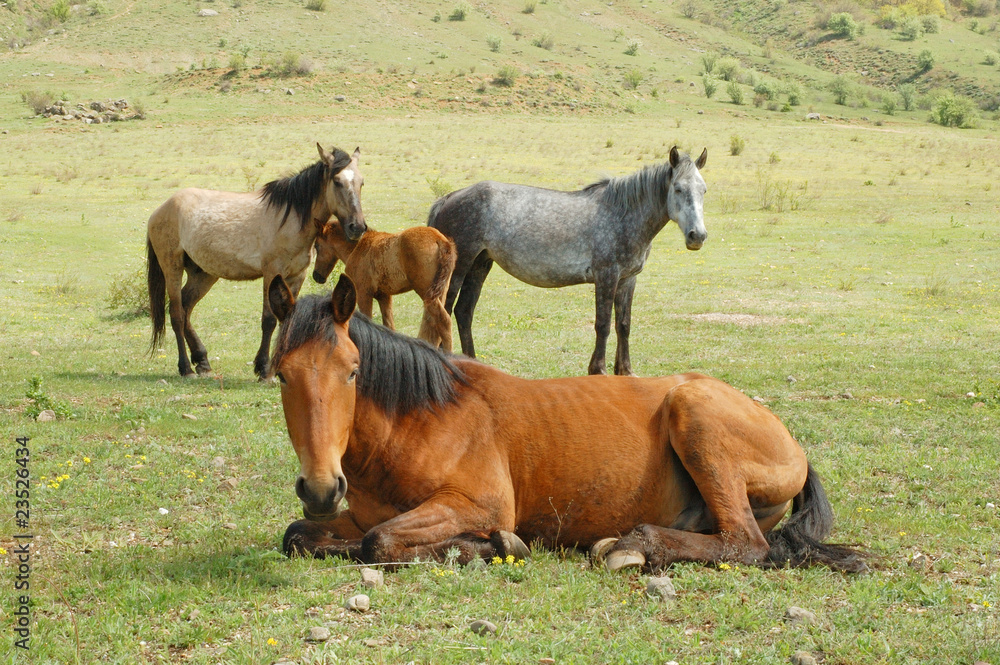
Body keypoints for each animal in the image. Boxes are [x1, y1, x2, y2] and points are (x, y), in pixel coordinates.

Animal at [146, 144, 367, 379]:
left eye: (361, 182)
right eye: (337, 181)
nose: (357, 227)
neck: (289, 219)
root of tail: (160, 209)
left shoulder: (297, 276)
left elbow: (288, 318)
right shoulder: (272, 273)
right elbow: (269, 320)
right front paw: (264, 368)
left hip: (203, 274)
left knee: (186, 307)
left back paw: (202, 361)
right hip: (172, 267)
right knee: (177, 313)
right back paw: (186, 367)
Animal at [267, 274, 865, 574]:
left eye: (352, 371)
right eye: (280, 374)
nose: (320, 487)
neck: (418, 419)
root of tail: (792, 444)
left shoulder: (479, 505)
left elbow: (381, 542)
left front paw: (490, 547)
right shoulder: (352, 514)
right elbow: (300, 535)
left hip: (696, 417)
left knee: (746, 545)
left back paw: (635, 546)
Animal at [312, 222, 456, 352]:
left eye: (317, 246)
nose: (316, 276)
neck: (358, 247)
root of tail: (440, 240)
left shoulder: (363, 293)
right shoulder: (384, 296)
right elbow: (389, 325)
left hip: (425, 291)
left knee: (444, 321)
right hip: (440, 291)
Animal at [428, 146, 708, 376]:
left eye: (703, 190)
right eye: (678, 189)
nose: (698, 236)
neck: (621, 215)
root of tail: (447, 198)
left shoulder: (628, 279)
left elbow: (623, 325)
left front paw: (625, 371)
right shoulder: (607, 276)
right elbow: (603, 324)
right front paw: (598, 370)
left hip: (479, 264)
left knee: (464, 311)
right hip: (460, 267)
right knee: (444, 311)